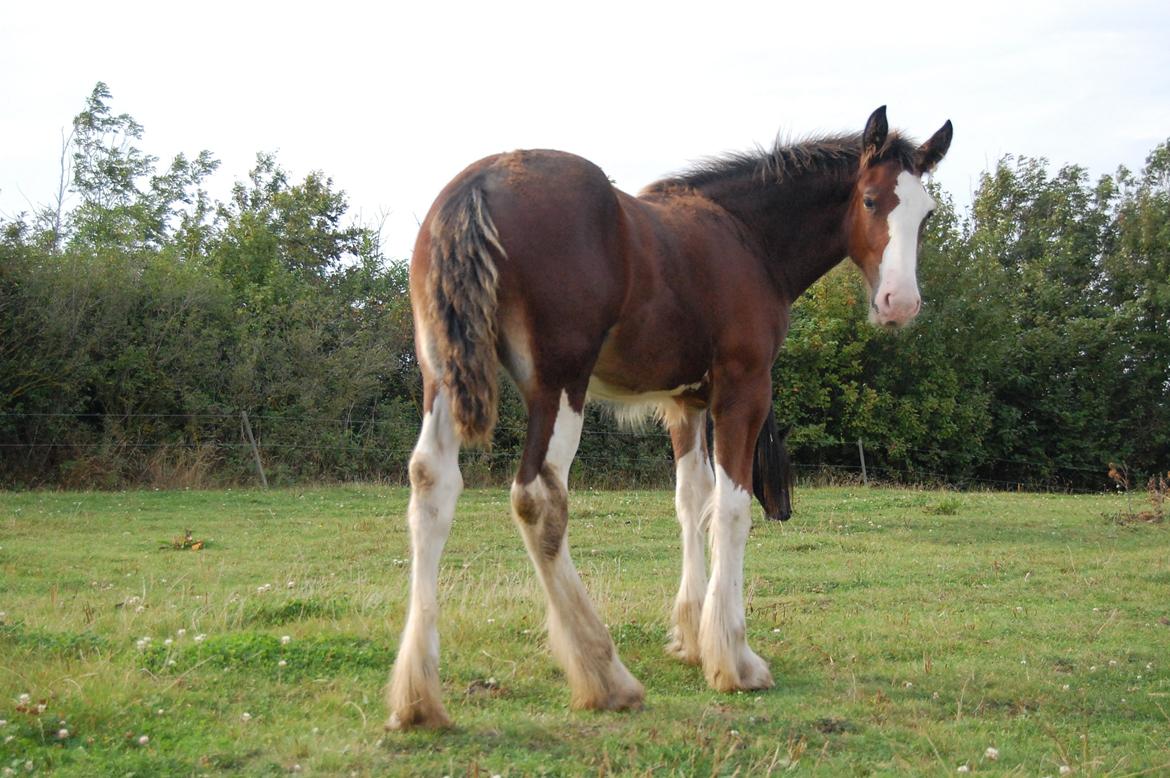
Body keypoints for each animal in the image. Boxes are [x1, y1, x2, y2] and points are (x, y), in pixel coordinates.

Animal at [383, 104, 950, 730]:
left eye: (926, 214)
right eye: (871, 200)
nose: (900, 303)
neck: (746, 237)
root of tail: (478, 185)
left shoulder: (686, 403)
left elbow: (690, 500)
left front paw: (692, 637)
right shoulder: (743, 389)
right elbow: (731, 507)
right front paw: (733, 658)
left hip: (441, 375)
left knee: (431, 484)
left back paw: (418, 697)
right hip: (559, 384)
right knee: (539, 498)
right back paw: (605, 676)